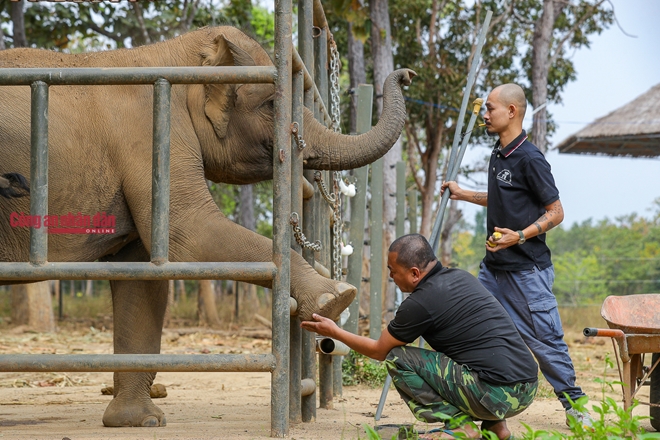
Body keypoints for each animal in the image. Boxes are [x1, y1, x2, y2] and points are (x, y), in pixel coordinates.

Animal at [0, 25, 412, 428]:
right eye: (271, 104)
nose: (406, 74)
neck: (172, 54)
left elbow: (141, 276)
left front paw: (140, 422)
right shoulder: (153, 136)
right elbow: (190, 235)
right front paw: (335, 298)